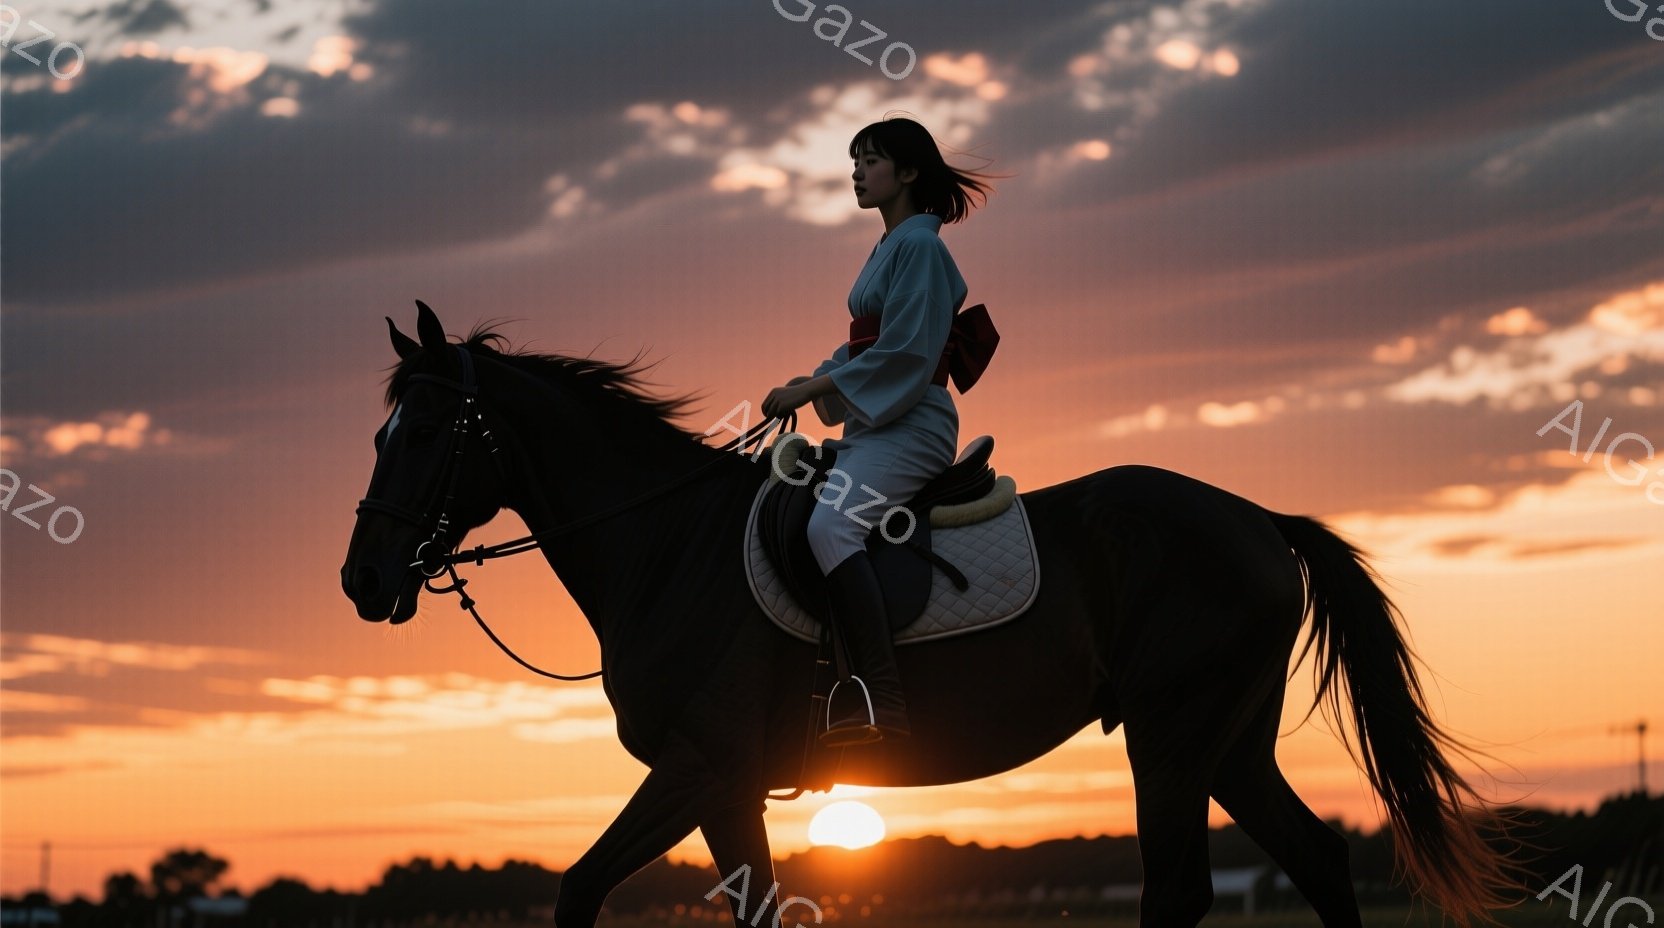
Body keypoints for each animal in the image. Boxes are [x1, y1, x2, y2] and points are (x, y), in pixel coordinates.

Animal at [340, 302, 1515, 928]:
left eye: (426, 430)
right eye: (378, 431)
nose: (361, 581)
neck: (668, 548)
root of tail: (1257, 519)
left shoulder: (696, 766)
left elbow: (582, 889)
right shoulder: (727, 786)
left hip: (1174, 737)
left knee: (1179, 889)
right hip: (1227, 740)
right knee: (1314, 857)